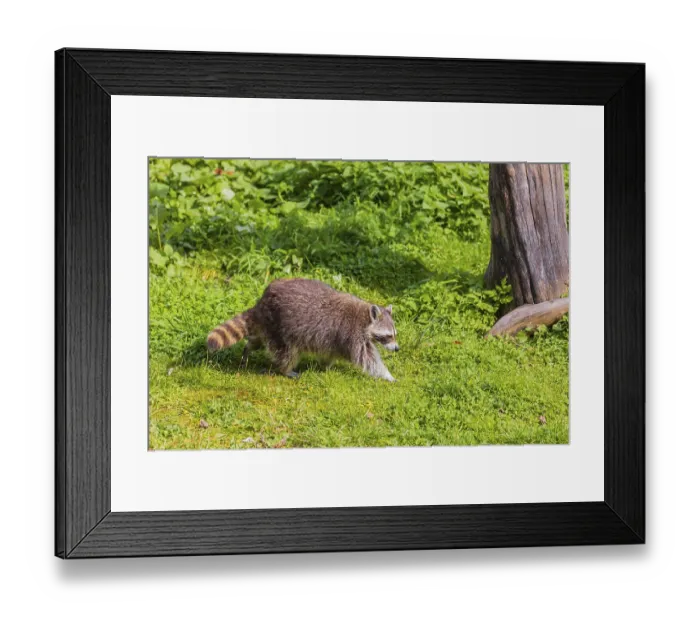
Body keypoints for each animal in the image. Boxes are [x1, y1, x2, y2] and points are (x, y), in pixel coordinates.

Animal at [207, 278, 399, 381]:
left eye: (394, 335)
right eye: (388, 336)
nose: (397, 349)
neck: (366, 317)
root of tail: (262, 301)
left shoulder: (336, 339)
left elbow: (331, 353)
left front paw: (326, 366)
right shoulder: (353, 334)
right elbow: (367, 359)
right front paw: (387, 376)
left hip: (268, 326)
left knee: (258, 341)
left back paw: (248, 349)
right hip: (281, 327)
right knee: (287, 353)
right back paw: (286, 370)